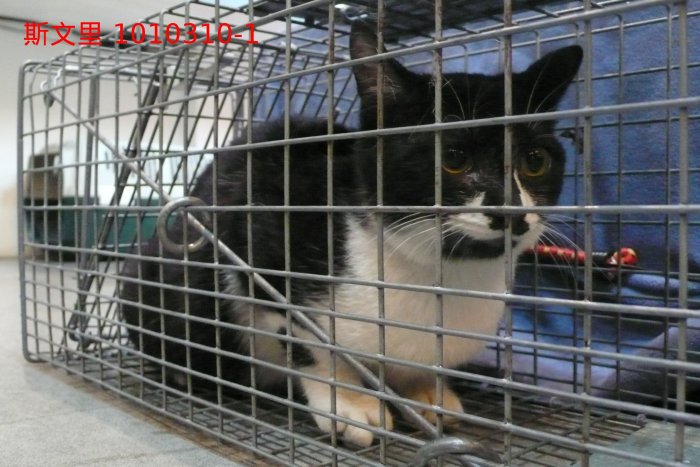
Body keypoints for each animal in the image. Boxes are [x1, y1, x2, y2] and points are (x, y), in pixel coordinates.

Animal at [120, 21, 582, 447]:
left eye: (535, 160)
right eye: (452, 157)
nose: (511, 210)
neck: (441, 272)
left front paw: (426, 393)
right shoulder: (257, 228)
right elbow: (310, 343)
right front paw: (349, 402)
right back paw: (183, 374)